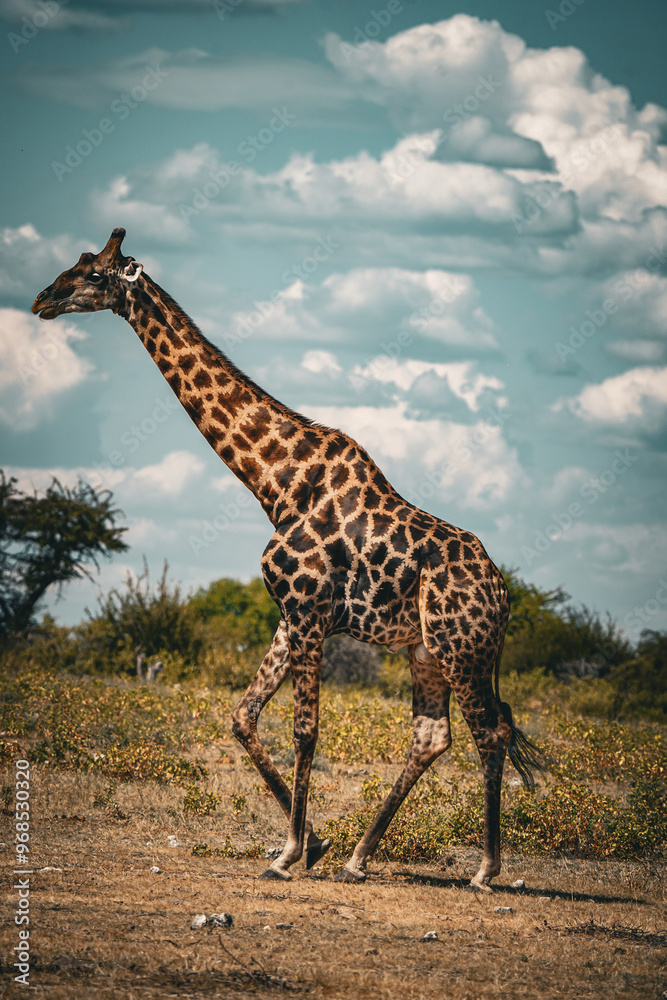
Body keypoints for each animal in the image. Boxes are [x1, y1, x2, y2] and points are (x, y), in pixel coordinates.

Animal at [33, 228, 541, 891]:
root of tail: (503, 594)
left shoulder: (306, 610)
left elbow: (304, 730)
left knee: (490, 732)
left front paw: (290, 853)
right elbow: (243, 716)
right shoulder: (292, 613)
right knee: (433, 736)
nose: (42, 299)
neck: (275, 483)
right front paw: (316, 843)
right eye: (76, 263)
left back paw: (485, 869)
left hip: (464, 648)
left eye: (93, 274)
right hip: (426, 650)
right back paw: (358, 857)